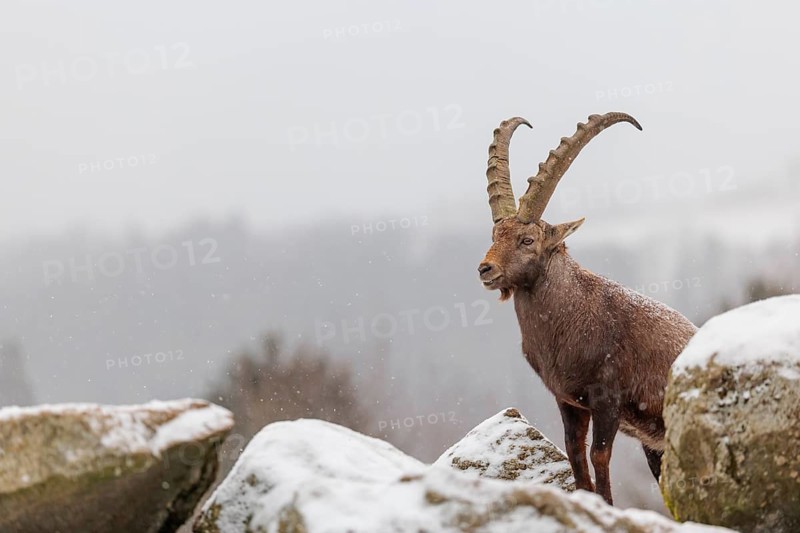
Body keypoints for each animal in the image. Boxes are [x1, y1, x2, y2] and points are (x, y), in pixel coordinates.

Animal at [477, 113, 697, 505]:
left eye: (527, 239)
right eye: (494, 236)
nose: (486, 270)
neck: (570, 318)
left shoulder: (607, 399)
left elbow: (599, 455)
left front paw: (606, 505)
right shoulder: (569, 402)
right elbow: (575, 453)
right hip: (657, 445)